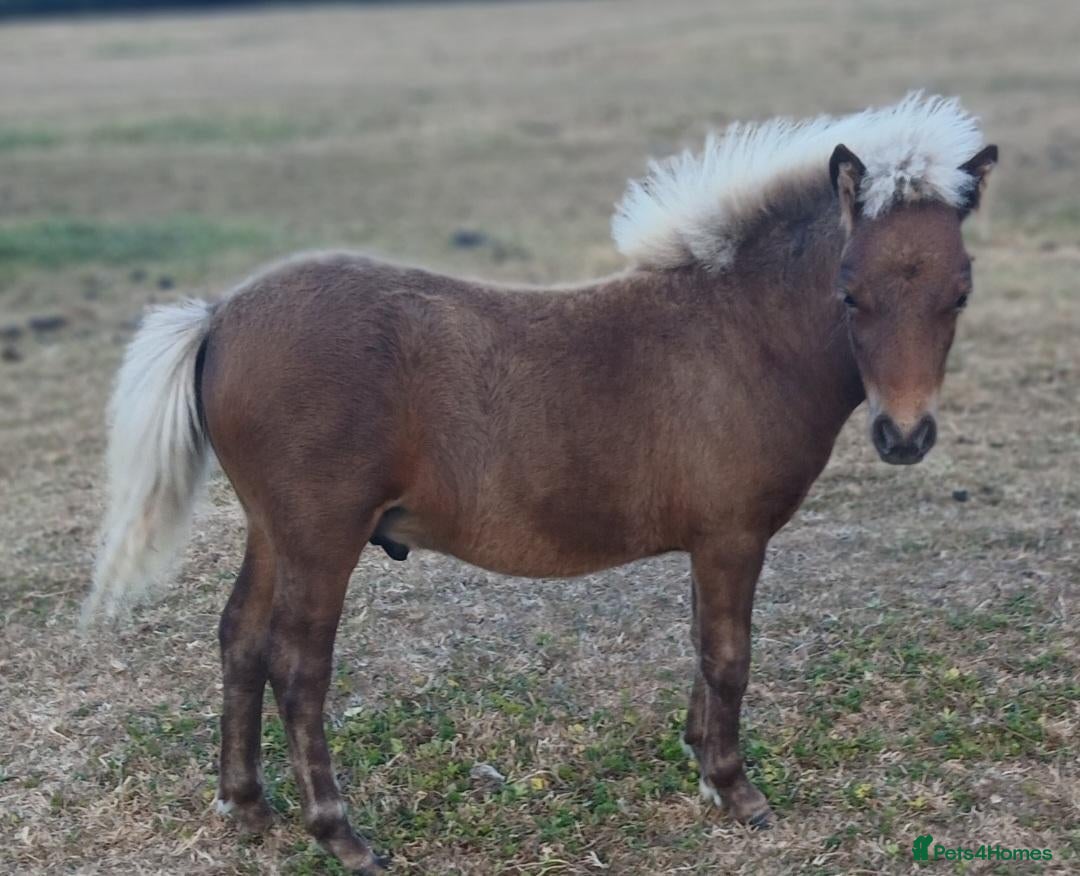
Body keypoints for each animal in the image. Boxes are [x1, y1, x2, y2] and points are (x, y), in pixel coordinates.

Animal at [84, 93, 996, 873]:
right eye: (850, 292)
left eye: (960, 293)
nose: (904, 435)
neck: (741, 336)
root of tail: (219, 317)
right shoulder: (733, 538)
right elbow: (729, 656)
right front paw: (738, 792)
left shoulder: (708, 543)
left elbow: (703, 649)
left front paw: (699, 757)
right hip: (321, 536)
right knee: (298, 667)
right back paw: (339, 833)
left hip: (273, 529)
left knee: (239, 638)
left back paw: (245, 805)